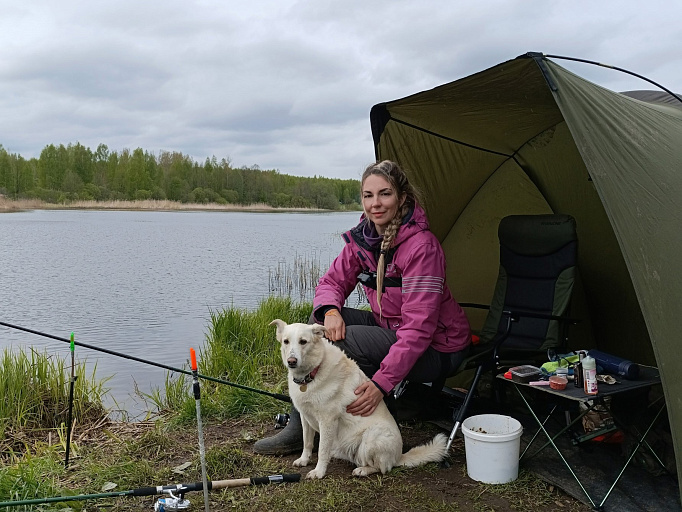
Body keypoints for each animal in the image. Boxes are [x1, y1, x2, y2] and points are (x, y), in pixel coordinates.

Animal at [268, 320, 448, 480]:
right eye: (286, 341)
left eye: (303, 342)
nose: (291, 361)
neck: (312, 373)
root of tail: (399, 456)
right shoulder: (305, 417)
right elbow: (307, 442)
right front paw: (304, 460)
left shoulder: (327, 421)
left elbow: (322, 451)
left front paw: (319, 472)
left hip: (372, 437)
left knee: (382, 468)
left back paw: (362, 470)